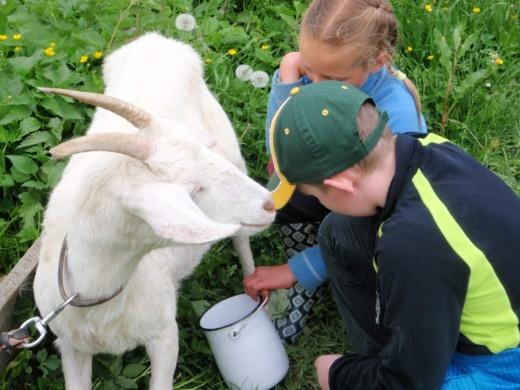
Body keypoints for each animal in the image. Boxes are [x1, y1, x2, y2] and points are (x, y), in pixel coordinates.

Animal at [31, 32, 276, 388]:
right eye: (193, 189)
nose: (269, 203)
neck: (95, 292)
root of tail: (155, 39)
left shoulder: (165, 337)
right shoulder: (71, 347)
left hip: (232, 150)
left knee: (242, 243)